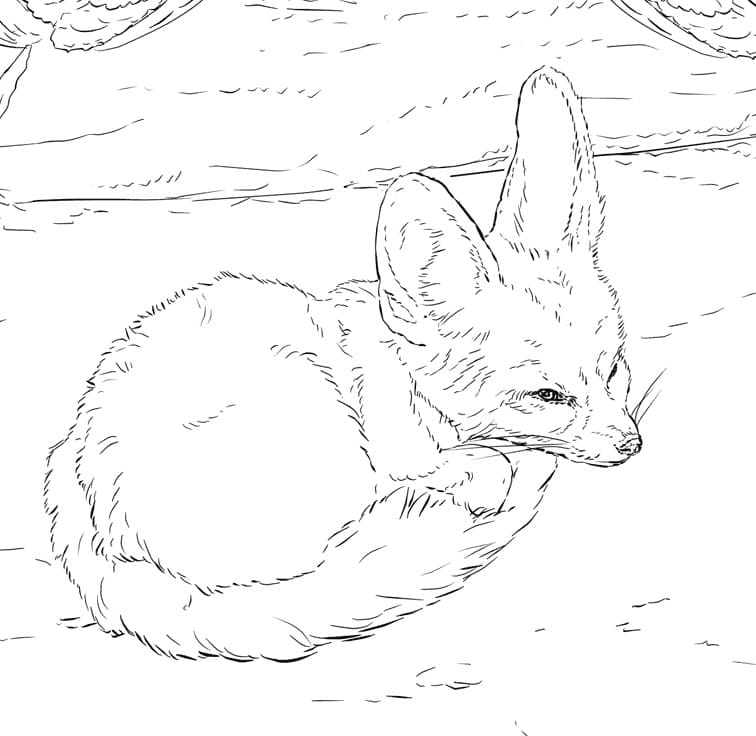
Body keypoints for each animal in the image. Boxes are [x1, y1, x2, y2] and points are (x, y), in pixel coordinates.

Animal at [43, 67, 641, 663]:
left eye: (613, 369)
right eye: (547, 396)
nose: (631, 445)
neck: (403, 384)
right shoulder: (399, 454)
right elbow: (471, 468)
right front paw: (480, 477)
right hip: (310, 412)